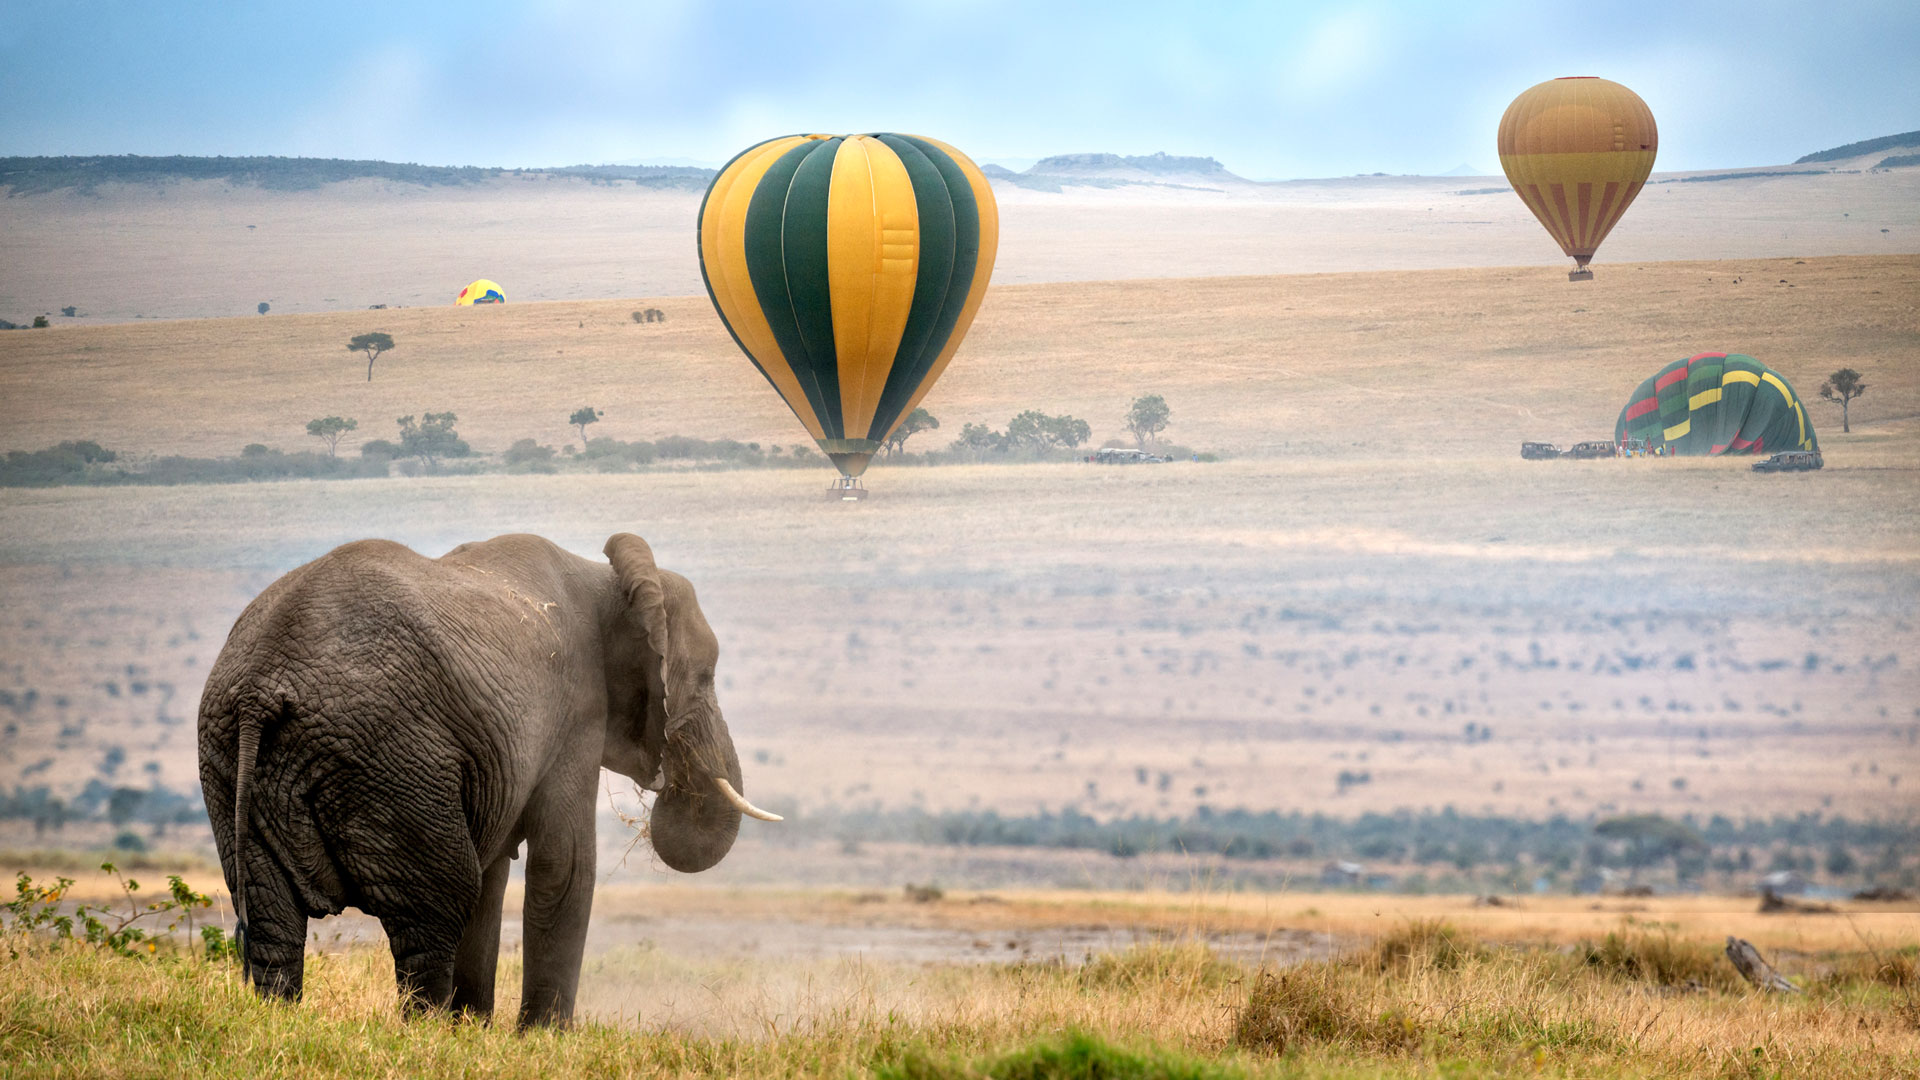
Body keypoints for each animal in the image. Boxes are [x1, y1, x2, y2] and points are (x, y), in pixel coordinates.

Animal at [198, 534, 775, 1022]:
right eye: (706, 677)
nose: (671, 780)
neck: (609, 579)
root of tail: (261, 687)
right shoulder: (577, 711)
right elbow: (563, 865)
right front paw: (543, 1039)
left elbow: (496, 871)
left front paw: (473, 1028)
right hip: (391, 758)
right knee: (438, 904)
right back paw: (423, 1031)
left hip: (230, 763)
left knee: (272, 921)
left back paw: (280, 1020)